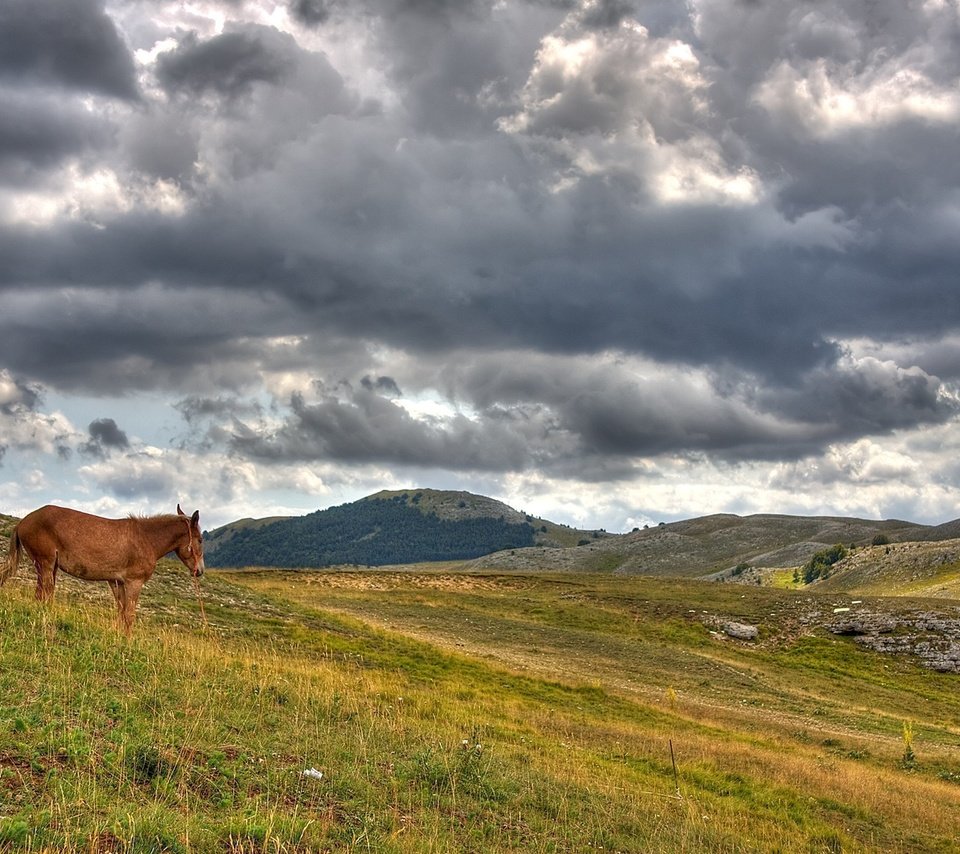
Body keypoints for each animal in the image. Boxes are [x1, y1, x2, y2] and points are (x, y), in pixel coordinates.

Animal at [1, 508, 204, 636]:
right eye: (200, 540)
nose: (200, 571)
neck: (146, 539)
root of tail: (23, 522)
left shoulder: (117, 582)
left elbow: (121, 612)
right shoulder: (134, 583)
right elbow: (129, 615)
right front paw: (128, 641)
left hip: (47, 567)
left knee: (41, 595)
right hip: (46, 565)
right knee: (45, 595)